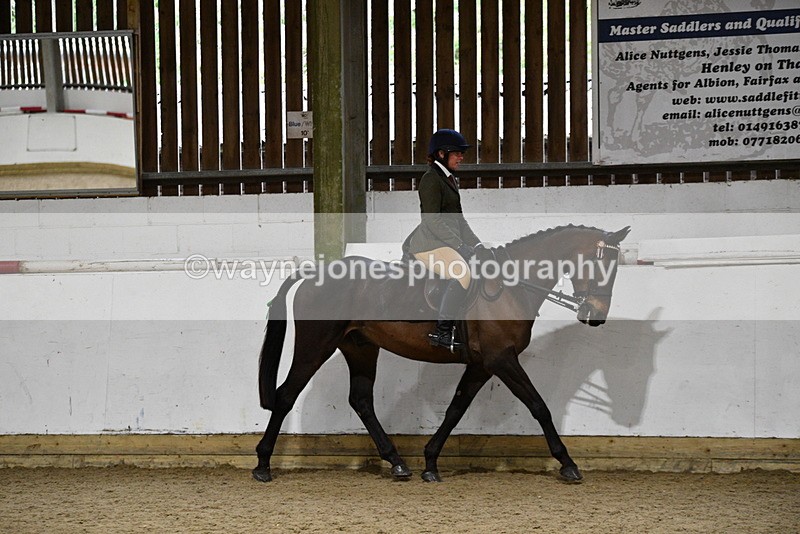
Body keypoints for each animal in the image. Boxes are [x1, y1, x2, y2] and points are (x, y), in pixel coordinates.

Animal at [252, 224, 631, 483]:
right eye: (599, 265)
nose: (595, 316)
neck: (511, 288)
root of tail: (313, 273)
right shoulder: (501, 359)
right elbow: (539, 406)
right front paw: (568, 464)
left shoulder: (482, 365)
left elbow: (455, 409)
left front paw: (431, 463)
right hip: (315, 346)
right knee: (286, 395)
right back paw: (262, 465)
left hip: (360, 348)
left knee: (361, 400)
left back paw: (397, 463)